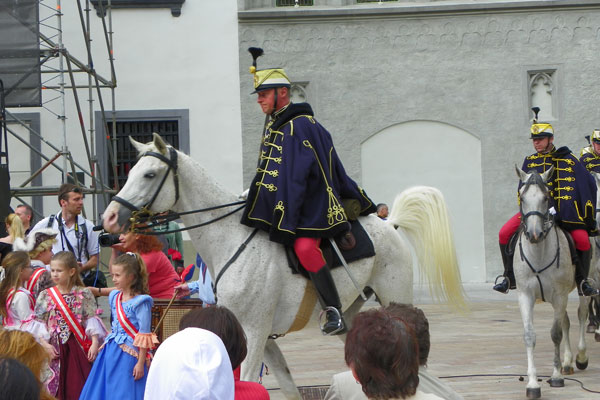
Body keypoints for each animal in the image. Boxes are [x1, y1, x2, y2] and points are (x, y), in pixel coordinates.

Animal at [103, 134, 466, 396]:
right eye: (129, 171)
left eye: (150, 174)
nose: (109, 218)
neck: (233, 239)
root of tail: (390, 225)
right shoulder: (261, 338)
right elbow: (285, 386)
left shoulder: (254, 330)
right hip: (352, 318)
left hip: (395, 297)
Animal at [512, 165, 588, 396]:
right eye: (522, 196)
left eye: (546, 197)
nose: (534, 234)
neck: (539, 253)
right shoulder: (525, 294)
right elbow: (530, 335)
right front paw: (532, 383)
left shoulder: (560, 295)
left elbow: (555, 333)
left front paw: (555, 377)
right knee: (566, 321)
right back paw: (568, 362)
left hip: (586, 284)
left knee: (582, 314)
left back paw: (580, 357)